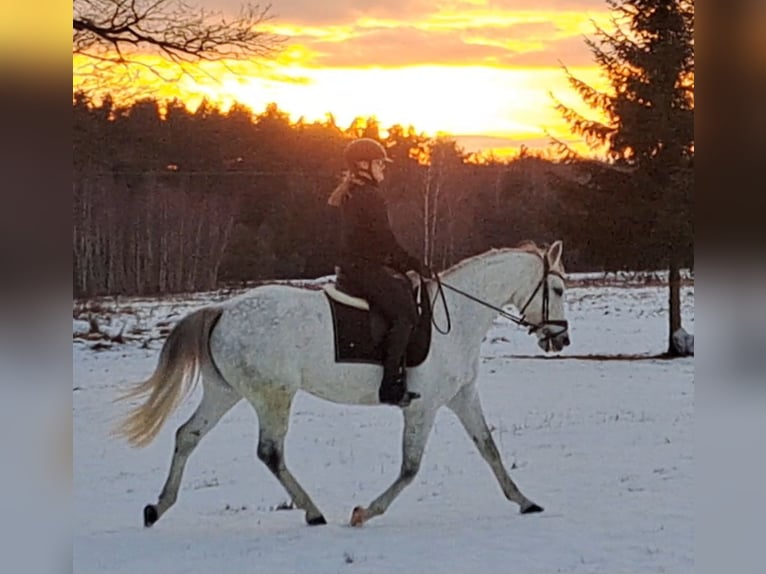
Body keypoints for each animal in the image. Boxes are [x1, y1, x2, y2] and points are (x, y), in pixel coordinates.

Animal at [117, 240, 570, 528]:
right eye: (558, 288)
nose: (561, 340)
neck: (456, 317)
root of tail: (224, 310)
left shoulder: (461, 397)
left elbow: (489, 449)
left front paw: (525, 502)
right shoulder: (422, 406)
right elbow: (410, 468)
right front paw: (364, 513)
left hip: (226, 392)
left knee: (187, 435)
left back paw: (158, 507)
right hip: (273, 396)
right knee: (269, 452)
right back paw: (314, 512)